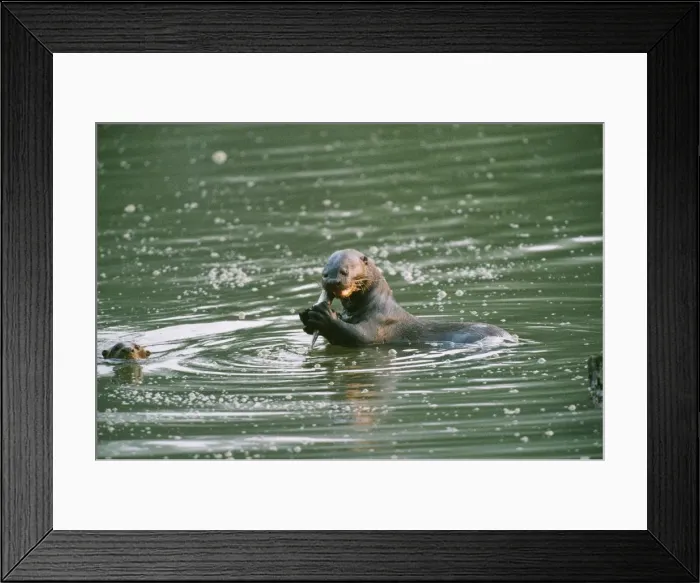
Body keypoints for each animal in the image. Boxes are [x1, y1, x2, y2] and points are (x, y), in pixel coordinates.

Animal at [299, 249, 517, 348]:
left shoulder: (380, 324)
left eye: (344, 271)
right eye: (324, 273)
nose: (332, 281)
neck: (375, 305)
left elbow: (360, 337)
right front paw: (305, 315)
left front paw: (325, 317)